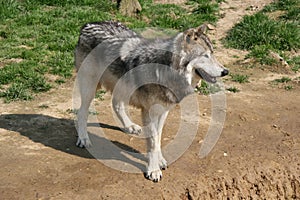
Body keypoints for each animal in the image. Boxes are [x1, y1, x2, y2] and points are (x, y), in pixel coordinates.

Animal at [74, 21, 227, 182]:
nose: (225, 72)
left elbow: (158, 137)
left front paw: (160, 161)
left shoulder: (163, 111)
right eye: (205, 56)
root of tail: (88, 25)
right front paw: (153, 170)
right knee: (82, 112)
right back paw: (83, 139)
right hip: (90, 88)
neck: (167, 71)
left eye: (213, 53)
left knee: (116, 104)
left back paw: (129, 126)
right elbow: (153, 142)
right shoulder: (149, 112)